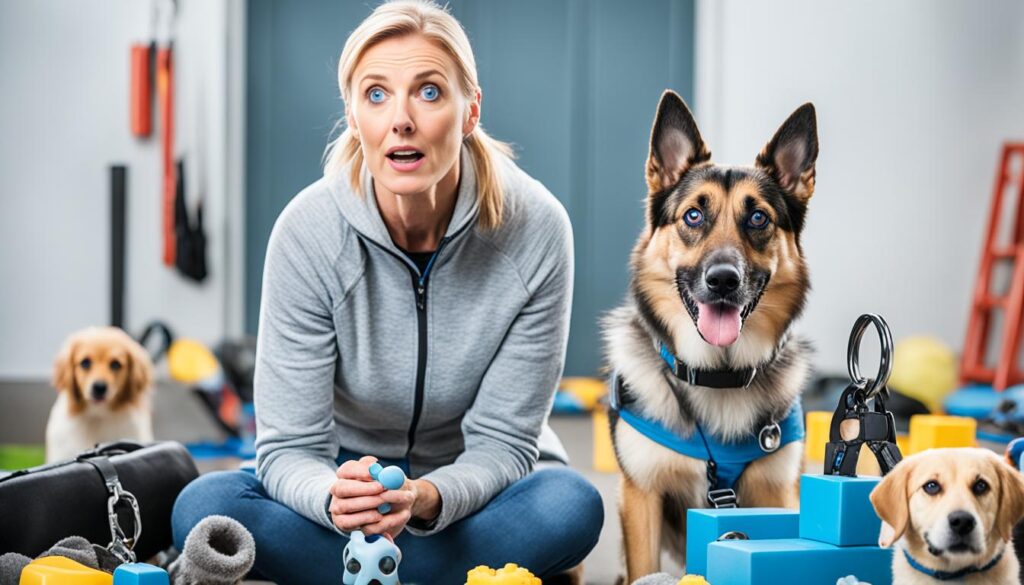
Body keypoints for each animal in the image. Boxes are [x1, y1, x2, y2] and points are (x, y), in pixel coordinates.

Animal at [602, 91, 819, 581]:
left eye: (757, 217)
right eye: (694, 215)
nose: (723, 280)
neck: (718, 374)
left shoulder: (776, 494)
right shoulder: (641, 498)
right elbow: (644, 569)